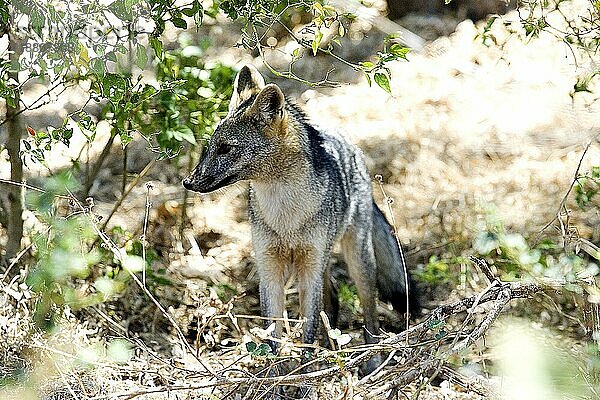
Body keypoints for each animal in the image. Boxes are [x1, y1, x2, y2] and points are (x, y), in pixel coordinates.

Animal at [183, 65, 418, 360]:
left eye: (226, 148)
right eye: (210, 147)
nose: (187, 182)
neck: (286, 216)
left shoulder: (309, 269)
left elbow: (308, 327)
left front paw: (306, 364)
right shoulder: (270, 269)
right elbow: (272, 332)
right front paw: (274, 367)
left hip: (356, 262)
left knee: (369, 312)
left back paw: (370, 356)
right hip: (325, 263)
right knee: (332, 298)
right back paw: (331, 346)